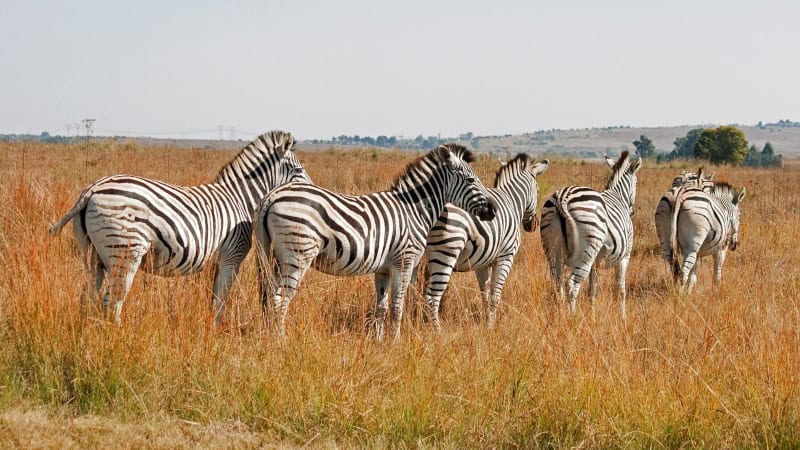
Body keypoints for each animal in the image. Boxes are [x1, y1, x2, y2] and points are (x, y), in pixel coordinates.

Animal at [48, 130, 311, 324]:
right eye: (298, 170)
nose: (313, 191)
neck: (240, 198)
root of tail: (91, 190)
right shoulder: (231, 257)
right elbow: (220, 300)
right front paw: (215, 332)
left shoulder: (218, 260)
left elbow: (213, 298)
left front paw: (209, 328)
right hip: (124, 252)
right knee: (112, 303)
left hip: (92, 256)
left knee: (87, 299)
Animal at [253, 144, 497, 342]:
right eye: (471, 180)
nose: (492, 210)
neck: (414, 211)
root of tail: (272, 195)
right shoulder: (404, 262)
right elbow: (397, 307)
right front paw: (396, 343)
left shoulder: (383, 270)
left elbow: (382, 307)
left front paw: (379, 342)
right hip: (297, 254)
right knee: (281, 299)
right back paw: (281, 340)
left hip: (273, 257)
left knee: (271, 296)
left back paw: (269, 336)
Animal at [421, 154, 549, 331]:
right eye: (537, 190)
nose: (533, 225)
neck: (512, 201)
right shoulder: (506, 256)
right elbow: (495, 295)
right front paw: (491, 327)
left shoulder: (483, 261)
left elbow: (485, 293)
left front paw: (484, 321)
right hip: (446, 253)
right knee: (432, 296)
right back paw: (436, 331)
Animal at [539, 151, 642, 319]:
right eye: (637, 183)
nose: (632, 212)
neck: (617, 195)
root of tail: (563, 197)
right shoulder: (625, 256)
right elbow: (621, 289)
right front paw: (623, 318)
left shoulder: (596, 261)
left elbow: (592, 290)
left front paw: (592, 315)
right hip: (586, 251)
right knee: (572, 285)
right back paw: (572, 318)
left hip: (553, 248)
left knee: (557, 284)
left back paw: (560, 317)